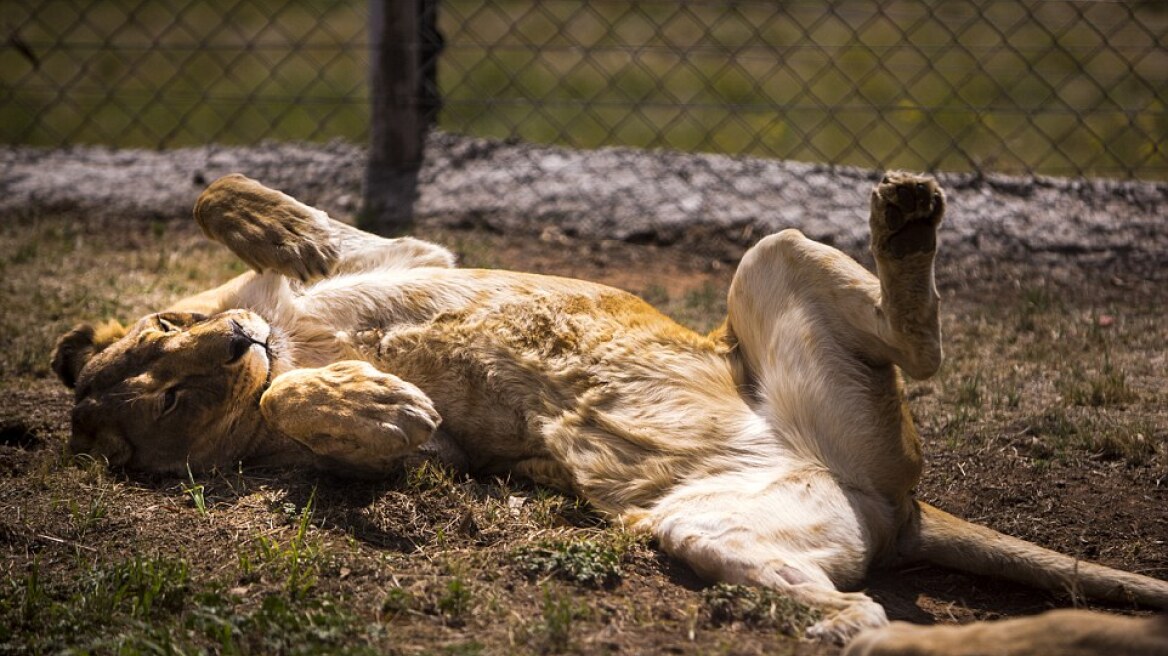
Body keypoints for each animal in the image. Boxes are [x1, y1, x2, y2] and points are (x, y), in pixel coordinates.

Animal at [52, 173, 1168, 644]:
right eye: (175, 393)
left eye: (166, 328)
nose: (237, 344)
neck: (283, 329)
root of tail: (894, 500)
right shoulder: (428, 458)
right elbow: (318, 407)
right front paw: (372, 398)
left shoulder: (406, 251)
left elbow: (225, 197)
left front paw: (262, 229)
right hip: (715, 526)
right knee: (858, 608)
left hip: (776, 260)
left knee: (922, 340)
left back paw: (905, 213)